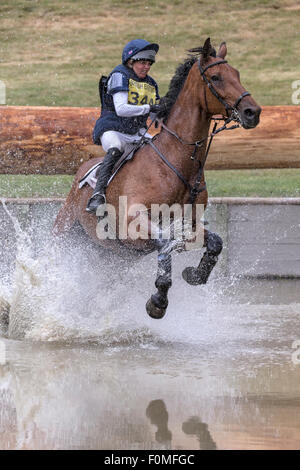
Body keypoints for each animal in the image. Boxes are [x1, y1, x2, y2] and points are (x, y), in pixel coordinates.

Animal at [52, 38, 262, 320]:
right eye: (216, 77)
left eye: (237, 74)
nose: (253, 112)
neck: (176, 162)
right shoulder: (133, 225)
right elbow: (165, 247)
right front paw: (158, 301)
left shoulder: (187, 224)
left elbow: (215, 242)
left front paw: (195, 274)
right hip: (65, 236)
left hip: (110, 258)